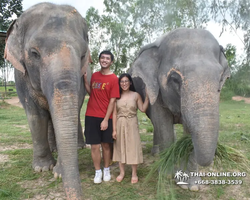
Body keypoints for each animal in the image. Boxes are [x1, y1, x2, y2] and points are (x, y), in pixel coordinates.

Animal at [4, 2, 92, 199]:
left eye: (83, 55)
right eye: (34, 53)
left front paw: (57, 172)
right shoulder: (21, 76)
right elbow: (36, 116)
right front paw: (42, 169)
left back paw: (79, 147)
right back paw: (53, 150)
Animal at [130, 27, 229, 191]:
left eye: (221, 78)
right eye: (175, 79)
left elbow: (189, 132)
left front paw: (192, 185)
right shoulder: (154, 90)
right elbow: (163, 125)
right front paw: (167, 175)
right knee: (157, 124)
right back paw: (157, 154)